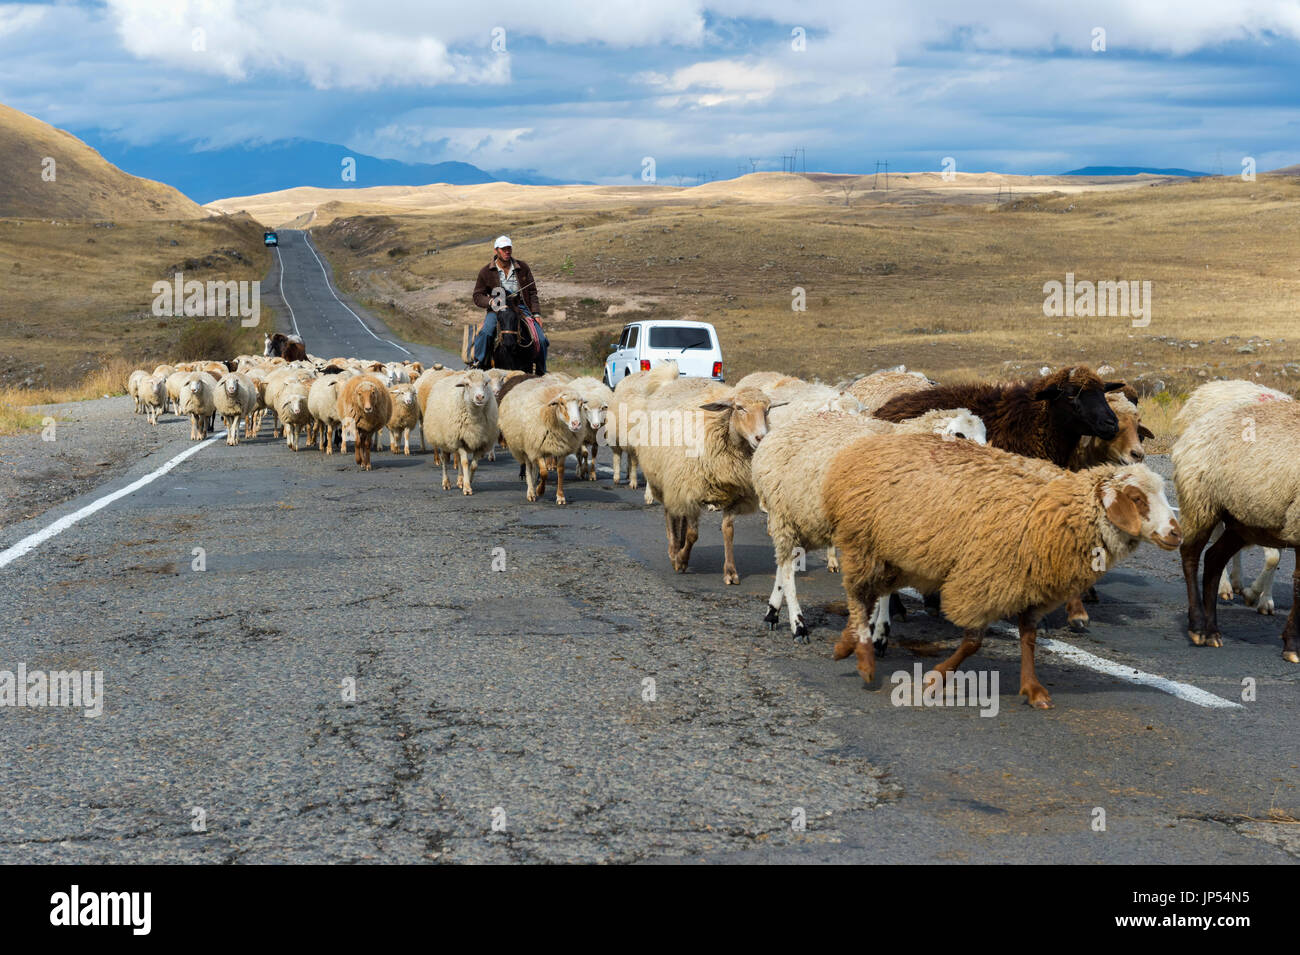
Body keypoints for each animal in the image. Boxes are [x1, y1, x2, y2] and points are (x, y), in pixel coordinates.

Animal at [496, 376, 585, 504]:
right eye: (562, 403)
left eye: (581, 404)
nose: (576, 424)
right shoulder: (536, 448)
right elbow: (544, 472)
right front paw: (539, 491)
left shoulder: (562, 450)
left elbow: (560, 471)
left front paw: (560, 496)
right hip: (526, 447)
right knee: (528, 468)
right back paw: (531, 492)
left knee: (534, 469)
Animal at [754, 407, 982, 641]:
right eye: (959, 435)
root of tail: (779, 431)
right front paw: (879, 631)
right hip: (783, 515)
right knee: (787, 569)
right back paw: (798, 625)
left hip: (804, 520)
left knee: (785, 562)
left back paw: (772, 612)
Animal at [826, 436, 1185, 706]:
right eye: (1136, 498)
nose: (1176, 534)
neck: (1060, 509)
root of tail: (865, 446)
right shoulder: (983, 580)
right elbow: (973, 642)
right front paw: (936, 677)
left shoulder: (1031, 589)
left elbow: (1028, 637)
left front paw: (1033, 689)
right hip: (866, 544)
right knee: (857, 594)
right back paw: (863, 658)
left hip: (897, 557)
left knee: (868, 597)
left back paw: (846, 643)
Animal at [1170, 392, 1300, 660]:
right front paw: (1292, 645)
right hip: (1200, 502)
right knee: (1190, 556)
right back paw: (1198, 627)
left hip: (1242, 523)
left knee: (1213, 559)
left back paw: (1213, 632)